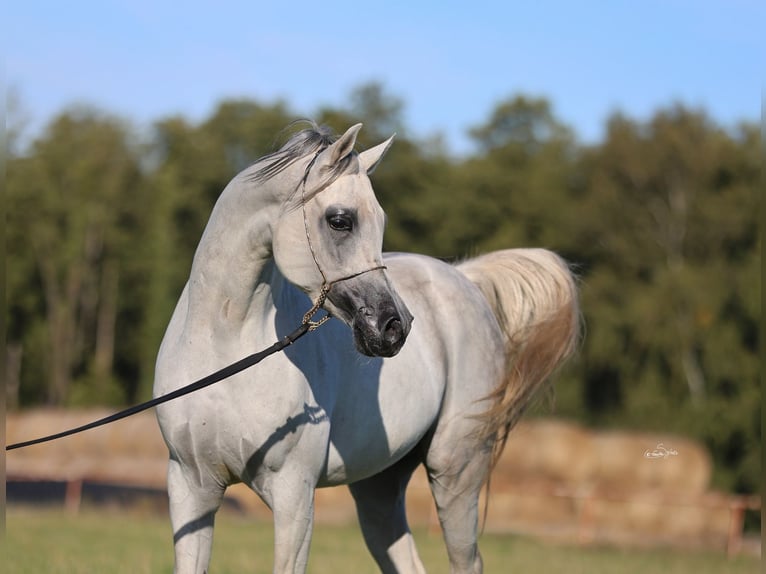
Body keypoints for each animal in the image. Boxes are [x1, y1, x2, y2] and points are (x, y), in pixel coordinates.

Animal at [154, 122, 580, 573]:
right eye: (340, 220)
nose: (395, 327)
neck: (227, 348)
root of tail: (465, 278)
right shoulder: (191, 487)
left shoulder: (293, 496)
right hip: (379, 487)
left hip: (455, 471)